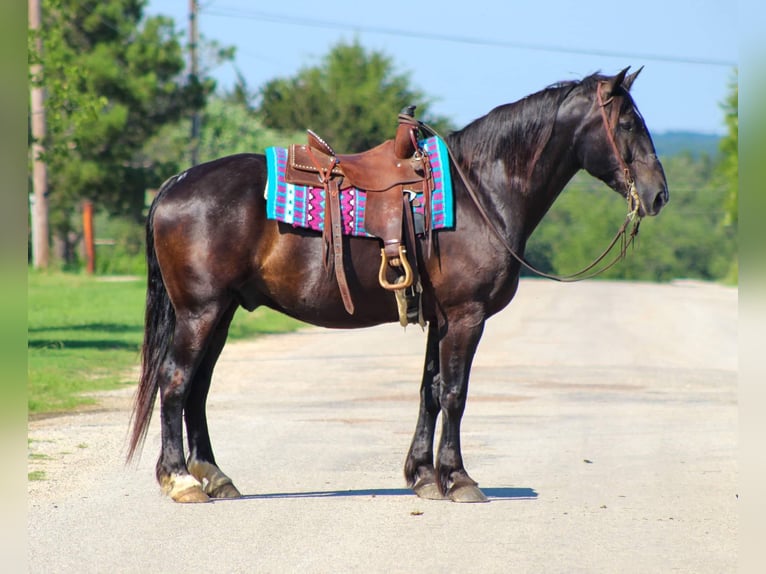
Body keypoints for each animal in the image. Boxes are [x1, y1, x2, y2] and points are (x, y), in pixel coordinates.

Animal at [127, 67, 668, 503]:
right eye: (627, 122)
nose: (659, 194)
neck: (481, 192)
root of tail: (176, 183)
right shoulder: (466, 316)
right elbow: (454, 393)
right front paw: (459, 478)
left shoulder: (442, 317)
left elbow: (429, 389)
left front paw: (424, 476)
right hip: (201, 312)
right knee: (176, 381)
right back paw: (181, 480)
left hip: (220, 313)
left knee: (197, 388)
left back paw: (215, 476)